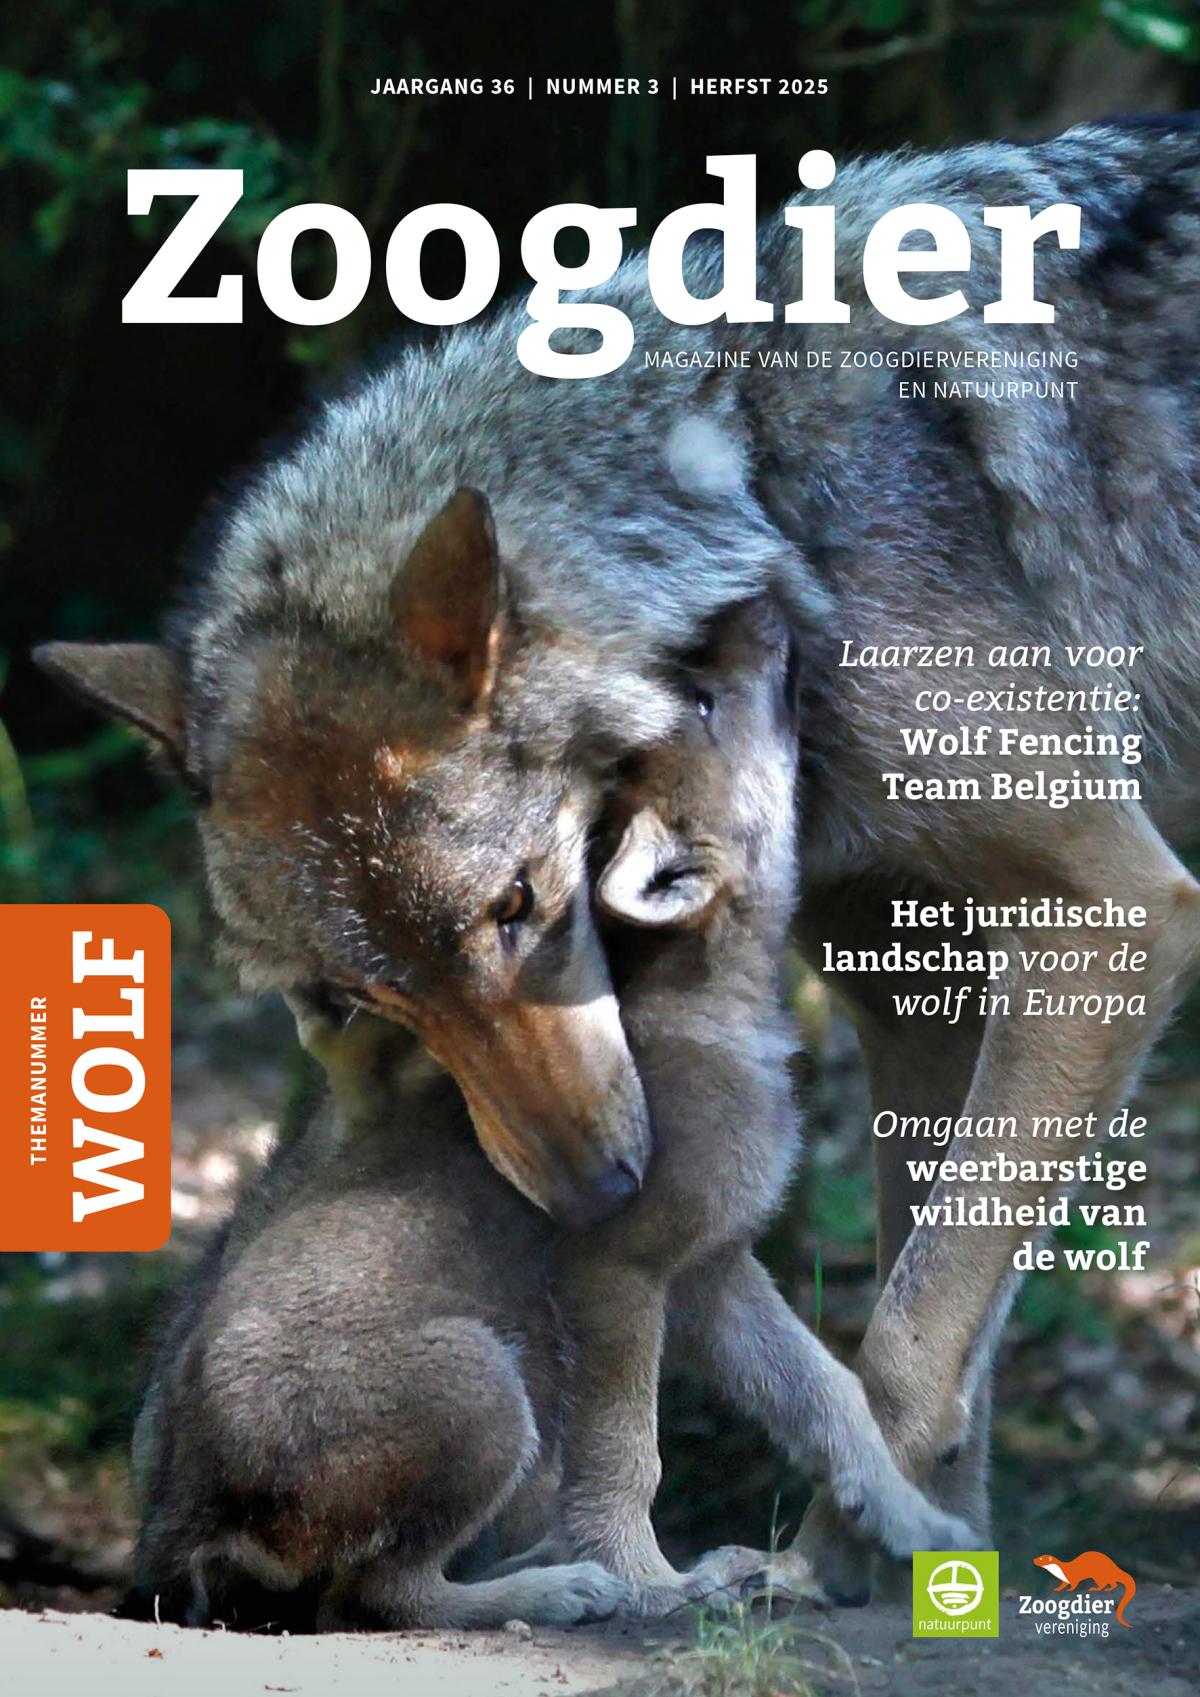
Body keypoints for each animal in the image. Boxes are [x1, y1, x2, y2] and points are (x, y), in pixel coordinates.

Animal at [38, 118, 1200, 1597]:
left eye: (520, 905)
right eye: (362, 1000)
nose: (596, 1195)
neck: (756, 491)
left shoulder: (1120, 906)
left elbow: (908, 1337)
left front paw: (842, 1562)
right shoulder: (907, 977)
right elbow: (932, 1332)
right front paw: (923, 1563)